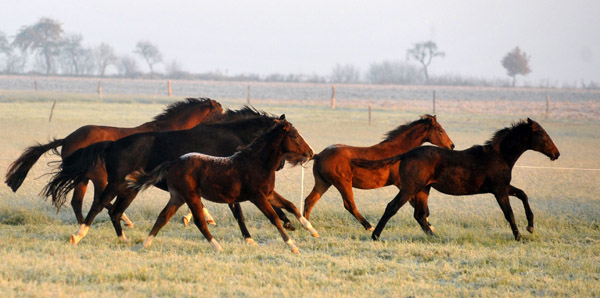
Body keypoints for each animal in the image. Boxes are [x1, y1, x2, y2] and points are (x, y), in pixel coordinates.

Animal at [5, 98, 223, 226]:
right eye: (221, 112)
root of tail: (67, 139)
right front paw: (202, 218)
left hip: (83, 178)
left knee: (78, 202)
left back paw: (86, 224)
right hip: (99, 177)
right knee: (98, 199)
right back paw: (122, 221)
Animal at [128, 117, 316, 253]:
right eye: (294, 136)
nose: (311, 152)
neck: (257, 162)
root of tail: (173, 163)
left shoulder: (269, 193)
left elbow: (291, 206)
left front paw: (312, 230)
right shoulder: (257, 197)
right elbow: (274, 218)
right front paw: (293, 246)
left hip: (177, 197)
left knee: (163, 217)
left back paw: (145, 244)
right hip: (191, 196)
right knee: (199, 221)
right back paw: (218, 247)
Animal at [302, 114, 452, 230]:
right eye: (440, 130)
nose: (452, 145)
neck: (400, 152)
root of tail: (320, 155)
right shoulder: (403, 185)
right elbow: (415, 204)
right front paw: (429, 224)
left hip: (323, 183)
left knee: (309, 201)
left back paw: (307, 226)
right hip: (342, 183)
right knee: (349, 205)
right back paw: (369, 226)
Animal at [352, 117, 564, 241]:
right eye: (542, 135)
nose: (556, 154)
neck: (500, 156)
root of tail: (406, 154)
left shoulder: (503, 186)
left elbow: (523, 195)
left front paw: (530, 227)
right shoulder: (499, 190)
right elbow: (509, 213)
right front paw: (519, 236)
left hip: (423, 189)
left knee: (419, 215)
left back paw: (435, 237)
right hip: (410, 188)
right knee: (393, 207)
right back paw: (375, 235)